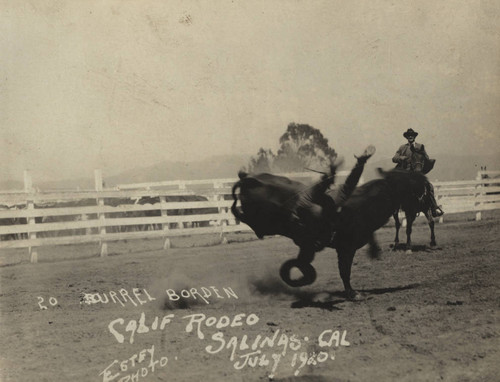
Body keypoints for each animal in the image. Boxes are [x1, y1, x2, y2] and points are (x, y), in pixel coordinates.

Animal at [232, 145, 432, 298]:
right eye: (408, 179)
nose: (424, 184)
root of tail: (249, 181)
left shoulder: (311, 245)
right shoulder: (345, 247)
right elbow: (344, 270)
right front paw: (352, 293)